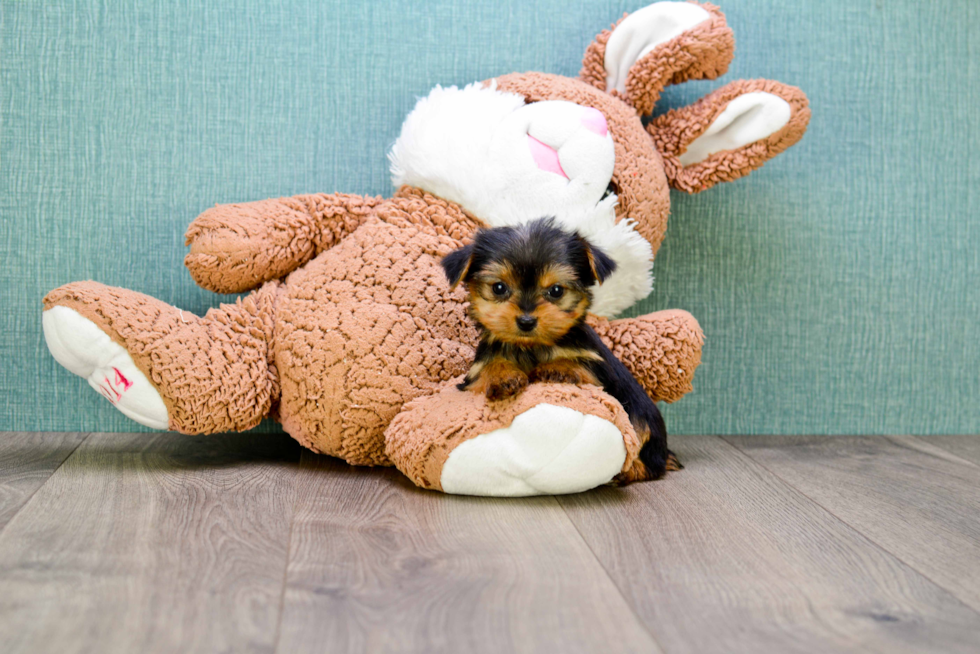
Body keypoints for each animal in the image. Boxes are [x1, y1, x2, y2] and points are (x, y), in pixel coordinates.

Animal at [440, 218, 676, 484]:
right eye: (499, 288)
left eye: (556, 291)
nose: (526, 321)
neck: (531, 347)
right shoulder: (475, 373)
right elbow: (489, 369)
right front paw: (504, 376)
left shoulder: (598, 369)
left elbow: (577, 363)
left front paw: (556, 369)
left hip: (643, 417)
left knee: (648, 454)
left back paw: (629, 471)